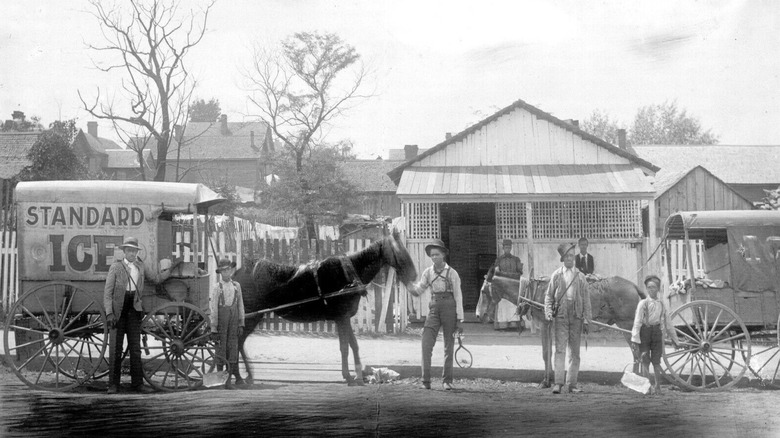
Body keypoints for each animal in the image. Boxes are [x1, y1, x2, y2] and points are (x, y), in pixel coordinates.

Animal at [233, 231, 418, 384]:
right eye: (398, 250)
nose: (414, 275)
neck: (350, 275)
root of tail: (236, 274)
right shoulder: (342, 318)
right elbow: (345, 347)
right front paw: (349, 376)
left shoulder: (344, 318)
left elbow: (352, 345)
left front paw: (356, 374)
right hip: (250, 317)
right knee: (237, 342)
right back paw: (239, 375)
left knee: (238, 342)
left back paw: (244, 375)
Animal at [478, 274, 644, 386]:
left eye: (483, 292)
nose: (479, 315)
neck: (534, 293)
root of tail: (633, 285)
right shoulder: (549, 325)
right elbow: (549, 353)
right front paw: (551, 378)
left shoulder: (545, 324)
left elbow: (546, 353)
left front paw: (545, 381)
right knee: (639, 351)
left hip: (627, 324)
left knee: (637, 351)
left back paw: (635, 376)